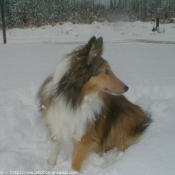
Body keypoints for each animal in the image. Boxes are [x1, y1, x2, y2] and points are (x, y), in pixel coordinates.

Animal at [38, 36, 150, 172]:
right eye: (106, 71)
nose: (127, 88)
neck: (74, 99)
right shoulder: (55, 123)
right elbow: (54, 150)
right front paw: (50, 166)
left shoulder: (84, 135)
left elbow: (76, 161)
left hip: (123, 118)